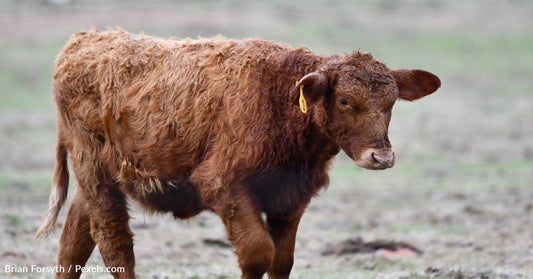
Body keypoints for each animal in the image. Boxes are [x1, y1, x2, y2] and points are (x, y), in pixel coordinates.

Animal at [35, 29, 438, 278]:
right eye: (344, 100)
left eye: (390, 103)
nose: (381, 157)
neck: (280, 99)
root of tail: (85, 40)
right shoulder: (224, 187)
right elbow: (257, 253)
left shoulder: (290, 197)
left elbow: (282, 260)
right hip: (94, 172)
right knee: (115, 244)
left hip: (99, 178)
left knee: (74, 239)